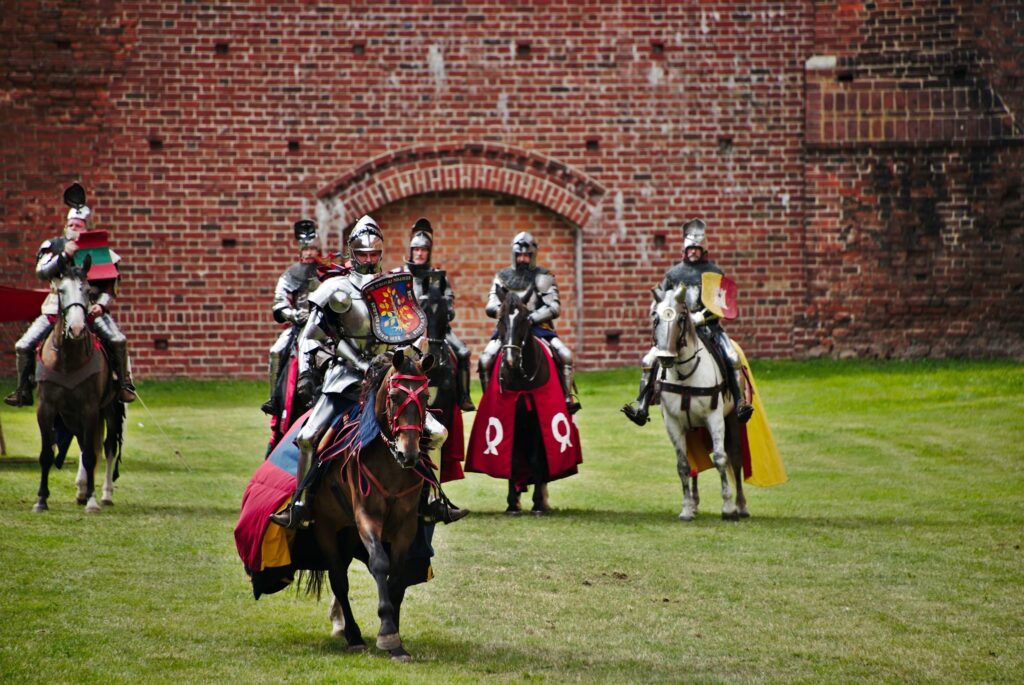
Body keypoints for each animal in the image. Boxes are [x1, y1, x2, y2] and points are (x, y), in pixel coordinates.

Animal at [34, 255, 123, 511]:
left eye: (87, 290)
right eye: (62, 290)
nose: (76, 328)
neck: (68, 360)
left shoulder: (90, 408)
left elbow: (93, 453)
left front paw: (92, 501)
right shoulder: (47, 408)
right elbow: (47, 453)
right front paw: (41, 499)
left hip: (109, 409)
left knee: (107, 445)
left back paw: (105, 494)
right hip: (70, 415)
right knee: (84, 444)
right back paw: (82, 489)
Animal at [311, 350, 440, 659]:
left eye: (425, 396)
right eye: (394, 395)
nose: (409, 454)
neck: (389, 460)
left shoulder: (406, 527)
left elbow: (397, 577)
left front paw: (395, 638)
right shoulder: (367, 517)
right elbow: (380, 564)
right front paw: (388, 633)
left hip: (347, 534)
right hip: (327, 528)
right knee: (339, 579)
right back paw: (353, 635)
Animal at [651, 282, 749, 518]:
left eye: (681, 317)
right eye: (655, 317)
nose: (665, 357)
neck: (684, 374)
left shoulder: (715, 418)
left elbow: (721, 459)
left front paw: (728, 507)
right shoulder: (673, 423)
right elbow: (683, 464)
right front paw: (686, 507)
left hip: (732, 418)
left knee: (735, 458)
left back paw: (741, 506)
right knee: (695, 463)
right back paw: (694, 504)